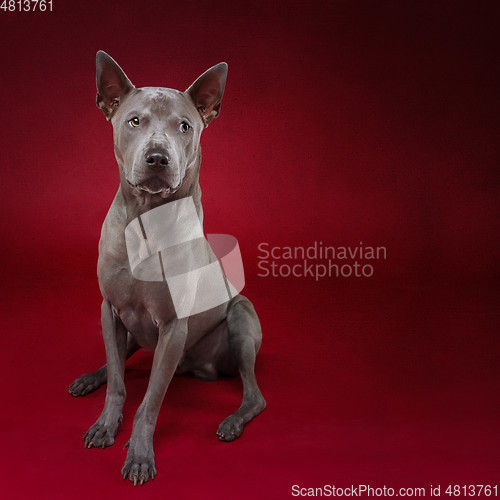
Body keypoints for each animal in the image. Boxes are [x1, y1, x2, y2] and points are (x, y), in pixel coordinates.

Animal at [69, 52, 270, 486]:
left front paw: (140, 455)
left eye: (185, 126)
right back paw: (89, 378)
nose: (158, 158)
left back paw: (232, 422)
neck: (147, 219)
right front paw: (106, 424)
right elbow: (118, 381)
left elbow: (150, 401)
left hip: (241, 319)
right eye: (134, 121)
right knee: (117, 363)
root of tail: (199, 369)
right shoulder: (110, 311)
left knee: (254, 393)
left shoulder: (173, 326)